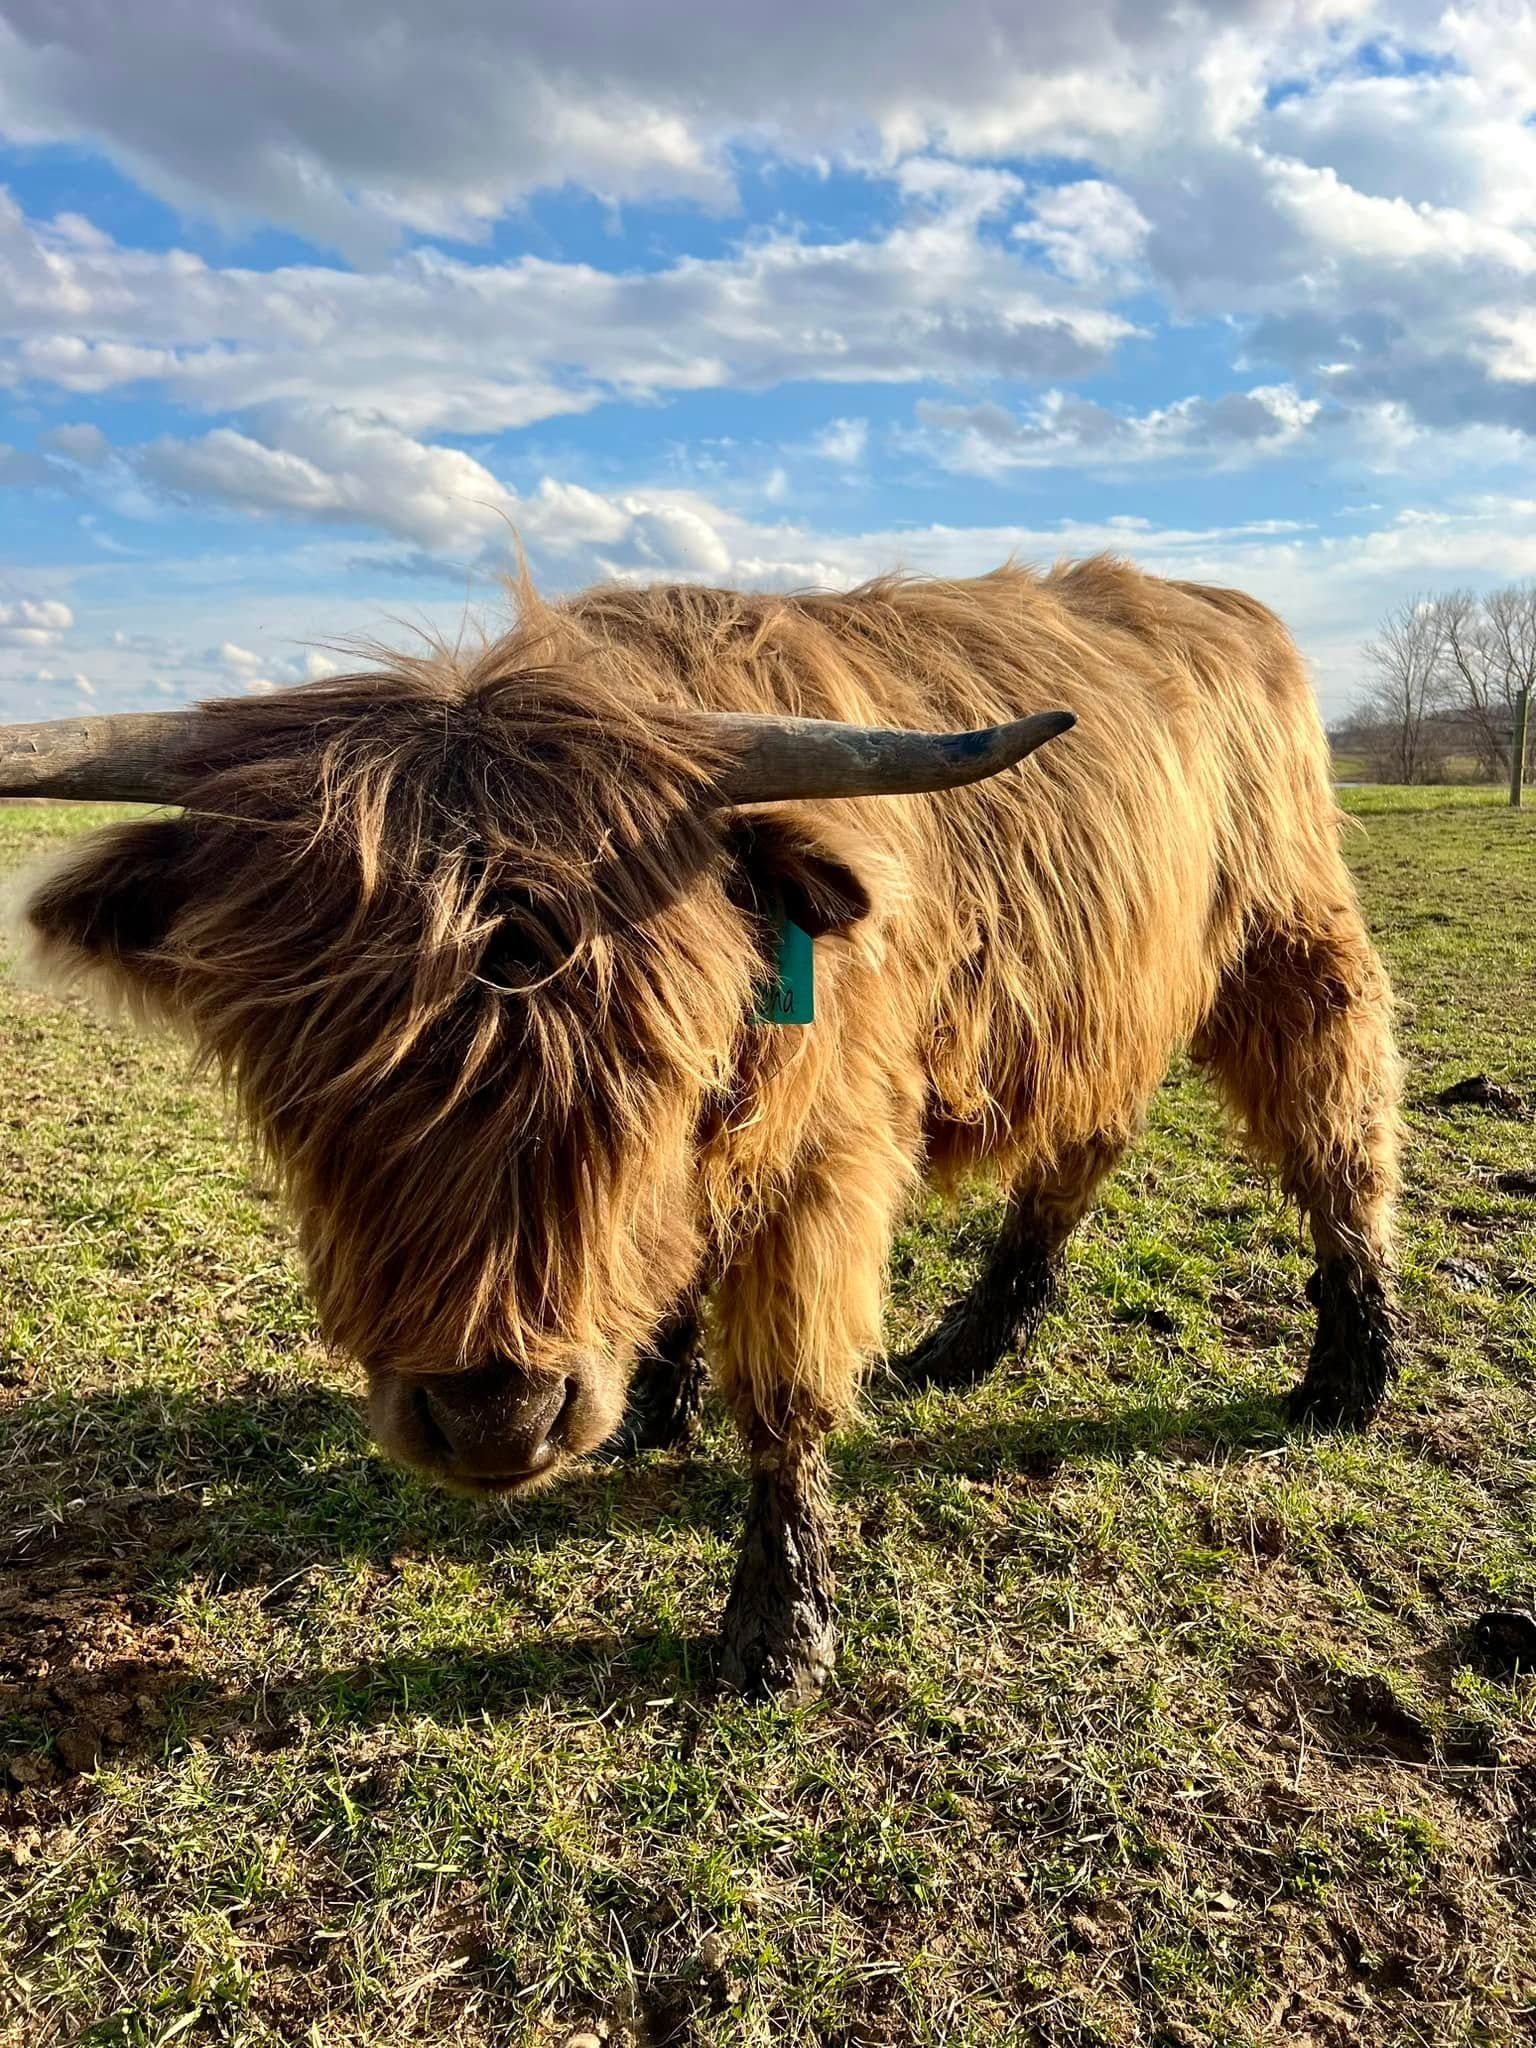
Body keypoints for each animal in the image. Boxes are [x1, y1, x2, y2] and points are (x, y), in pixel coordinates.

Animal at [3, 558, 1400, 1698]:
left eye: (645, 1069)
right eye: (314, 1082)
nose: (495, 1420)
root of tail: (1227, 605)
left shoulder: (830, 1154)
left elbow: (787, 1387)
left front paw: (780, 1627)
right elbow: (679, 1266)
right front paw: (655, 1400)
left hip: (1292, 937)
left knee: (1340, 1129)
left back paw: (1350, 1369)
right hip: (1105, 998)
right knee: (1083, 1145)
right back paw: (972, 1340)